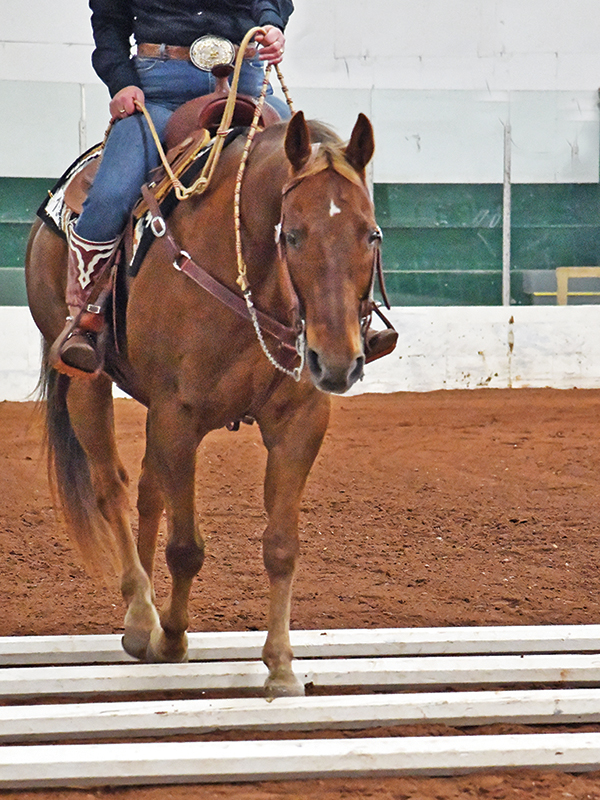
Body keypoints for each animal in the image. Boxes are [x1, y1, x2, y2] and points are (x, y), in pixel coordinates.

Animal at [25, 109, 382, 696]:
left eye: (370, 234)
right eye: (293, 234)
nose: (338, 361)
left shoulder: (300, 420)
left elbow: (281, 545)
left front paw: (281, 665)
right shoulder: (179, 415)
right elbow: (186, 546)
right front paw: (171, 637)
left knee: (149, 490)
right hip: (85, 381)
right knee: (111, 487)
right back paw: (141, 617)